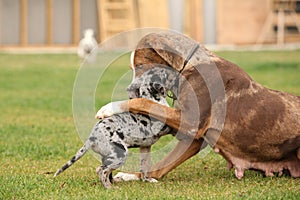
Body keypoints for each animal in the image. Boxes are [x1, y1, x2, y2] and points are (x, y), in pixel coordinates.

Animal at [96, 31, 300, 180]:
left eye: (139, 66)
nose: (130, 91)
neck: (189, 66)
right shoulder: (192, 136)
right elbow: (161, 166)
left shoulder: (191, 122)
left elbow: (144, 102)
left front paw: (109, 108)